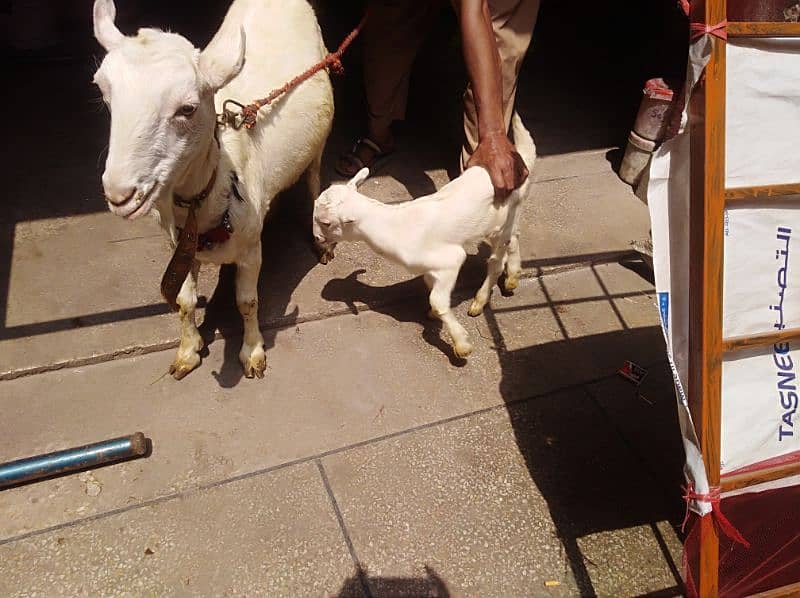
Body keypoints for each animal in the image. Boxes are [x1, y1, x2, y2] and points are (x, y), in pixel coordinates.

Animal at [92, 0, 332, 380]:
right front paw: (188, 350)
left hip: (319, 139)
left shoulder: (250, 249)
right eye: (105, 94)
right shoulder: (179, 246)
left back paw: (320, 240)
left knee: (313, 182)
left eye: (187, 108)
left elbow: (247, 302)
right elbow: (184, 301)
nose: (120, 195)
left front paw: (253, 353)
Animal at [316, 114, 536, 358]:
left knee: (496, 261)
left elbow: (438, 300)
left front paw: (461, 344)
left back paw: (480, 301)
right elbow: (431, 287)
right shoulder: (430, 268)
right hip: (498, 222)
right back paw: (513, 276)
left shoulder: (450, 259)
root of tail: (519, 162)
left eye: (325, 222)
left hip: (502, 220)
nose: (317, 239)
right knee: (513, 239)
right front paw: (433, 314)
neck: (391, 224)